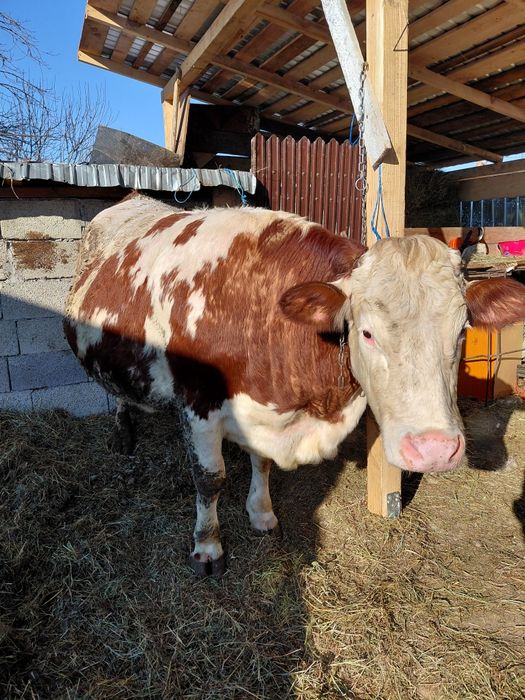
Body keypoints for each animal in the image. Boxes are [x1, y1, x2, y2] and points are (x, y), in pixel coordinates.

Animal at [64, 194, 525, 576]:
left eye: (462, 330)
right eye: (367, 333)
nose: (434, 450)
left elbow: (262, 463)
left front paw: (262, 515)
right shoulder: (198, 404)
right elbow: (209, 478)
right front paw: (208, 546)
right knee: (114, 392)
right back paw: (123, 433)